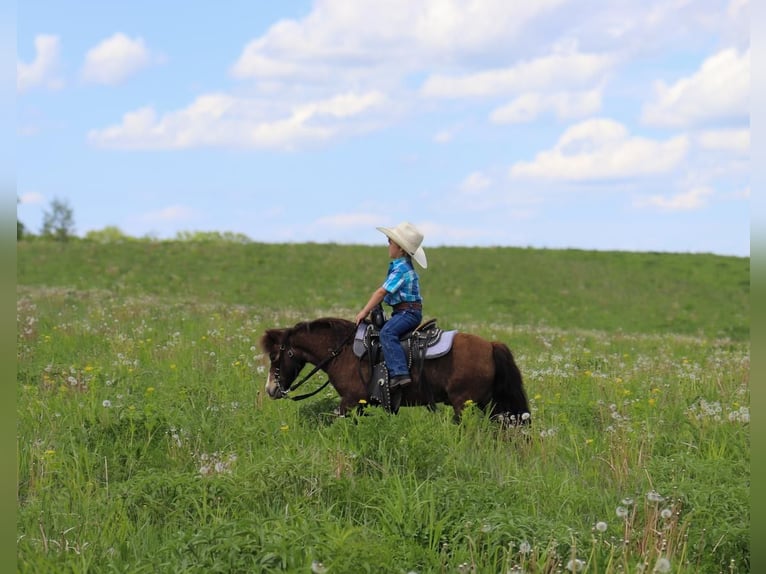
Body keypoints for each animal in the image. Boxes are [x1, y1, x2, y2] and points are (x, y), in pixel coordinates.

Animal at [260, 318, 532, 426]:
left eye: (274, 357)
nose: (271, 389)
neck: (342, 351)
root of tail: (491, 345)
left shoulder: (349, 401)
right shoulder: (360, 404)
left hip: (463, 404)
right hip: (488, 405)